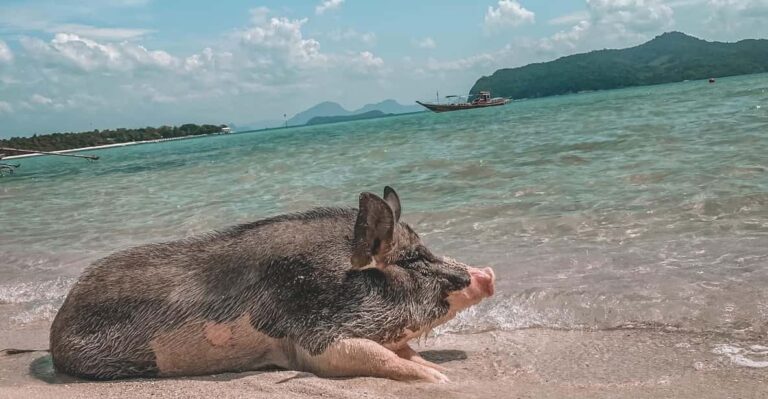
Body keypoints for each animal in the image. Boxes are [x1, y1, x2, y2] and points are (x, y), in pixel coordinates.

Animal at [52, 188, 498, 384]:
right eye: (414, 259)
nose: (488, 273)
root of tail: (57, 325)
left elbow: (403, 352)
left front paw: (440, 370)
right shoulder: (315, 339)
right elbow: (376, 357)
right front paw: (443, 382)